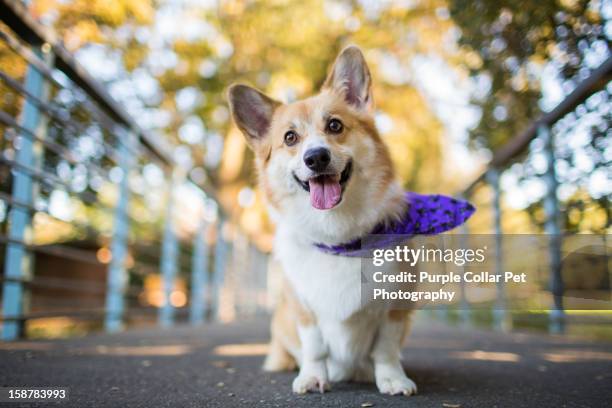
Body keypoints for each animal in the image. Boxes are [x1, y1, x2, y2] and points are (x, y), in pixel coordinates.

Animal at [228, 46, 416, 396]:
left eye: (335, 126)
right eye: (290, 138)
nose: (316, 157)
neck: (337, 236)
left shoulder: (394, 308)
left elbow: (385, 349)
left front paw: (393, 380)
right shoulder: (303, 308)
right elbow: (315, 347)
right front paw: (312, 377)